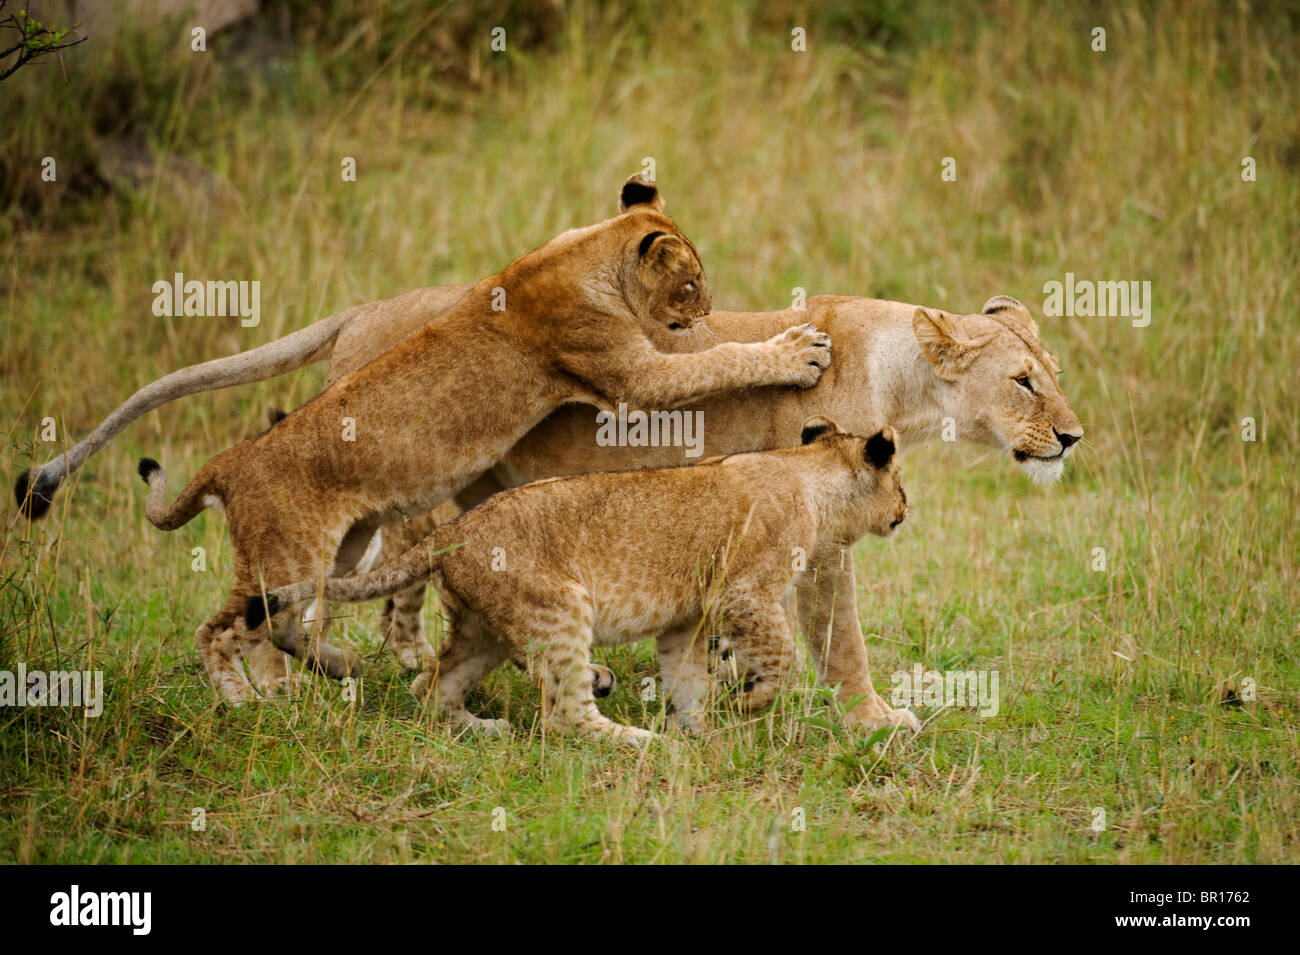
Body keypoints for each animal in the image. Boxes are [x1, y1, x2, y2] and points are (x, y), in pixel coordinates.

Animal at [131, 178, 834, 701]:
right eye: (691, 282)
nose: (708, 309)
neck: (580, 254)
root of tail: (226, 463)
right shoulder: (631, 375)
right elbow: (719, 361)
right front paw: (798, 351)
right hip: (287, 555)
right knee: (226, 629)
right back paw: (255, 701)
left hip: (345, 545)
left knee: (285, 619)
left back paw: (338, 670)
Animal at [246, 419, 909, 743]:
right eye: (900, 483)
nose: (908, 509)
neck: (810, 475)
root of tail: (452, 529)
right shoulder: (744, 591)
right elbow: (784, 655)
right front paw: (746, 702)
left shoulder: (686, 621)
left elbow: (687, 678)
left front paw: (702, 732)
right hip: (559, 608)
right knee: (563, 716)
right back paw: (636, 742)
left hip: (487, 628)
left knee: (430, 686)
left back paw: (486, 730)